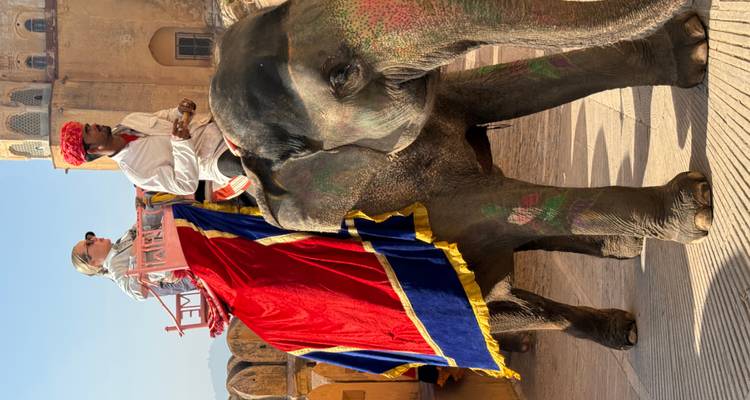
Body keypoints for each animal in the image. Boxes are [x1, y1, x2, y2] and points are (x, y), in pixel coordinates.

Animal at [209, 0, 711, 351]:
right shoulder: (393, 199)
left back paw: (621, 268)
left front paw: (691, 46)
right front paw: (696, 207)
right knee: (523, 310)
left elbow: (504, 87)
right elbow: (491, 203)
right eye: (343, 75)